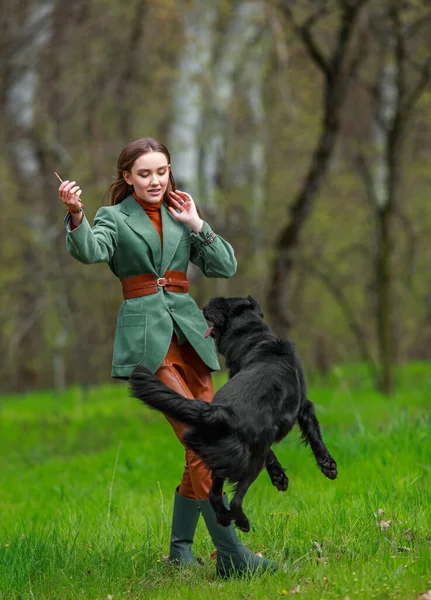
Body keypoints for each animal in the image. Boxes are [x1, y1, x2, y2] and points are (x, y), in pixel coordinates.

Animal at [129, 292, 338, 532]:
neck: (255, 341)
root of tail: (222, 412)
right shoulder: (303, 405)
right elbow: (314, 434)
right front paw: (326, 465)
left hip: (217, 456)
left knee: (213, 495)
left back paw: (224, 518)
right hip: (251, 462)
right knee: (237, 499)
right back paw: (243, 522)